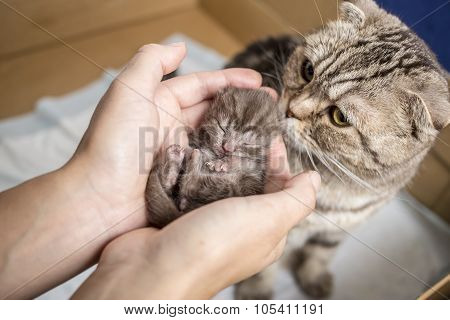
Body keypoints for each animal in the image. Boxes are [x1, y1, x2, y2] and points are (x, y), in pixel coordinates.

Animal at [145, 86, 278, 229]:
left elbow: (245, 161)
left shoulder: (258, 168)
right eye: (222, 128)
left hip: (235, 188)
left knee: (190, 185)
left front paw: (223, 163)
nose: (227, 148)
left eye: (247, 143)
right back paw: (174, 160)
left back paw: (194, 158)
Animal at [229, 0, 450, 300]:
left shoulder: (339, 229)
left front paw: (313, 277)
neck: (332, 181)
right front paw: (257, 291)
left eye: (340, 117)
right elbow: (265, 265)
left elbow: (321, 253)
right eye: (308, 70)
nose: (290, 108)